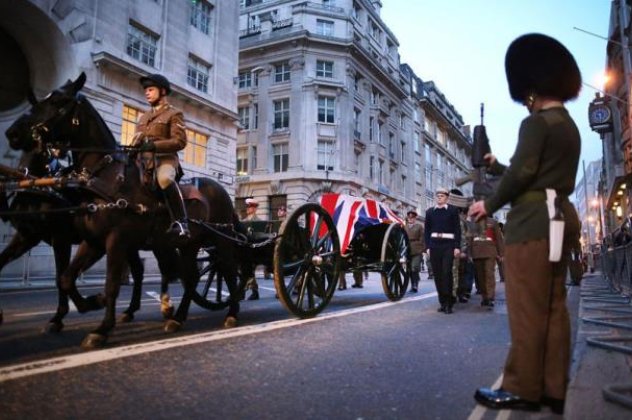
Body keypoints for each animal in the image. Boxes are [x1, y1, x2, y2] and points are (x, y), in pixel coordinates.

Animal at [4, 72, 242, 348]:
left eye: (59, 102)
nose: (12, 133)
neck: (105, 177)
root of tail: (221, 190)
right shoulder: (92, 241)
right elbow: (66, 278)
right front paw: (91, 303)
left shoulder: (113, 240)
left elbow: (111, 284)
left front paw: (101, 328)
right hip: (187, 245)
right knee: (190, 276)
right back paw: (177, 317)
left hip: (220, 240)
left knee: (228, 271)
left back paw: (231, 314)